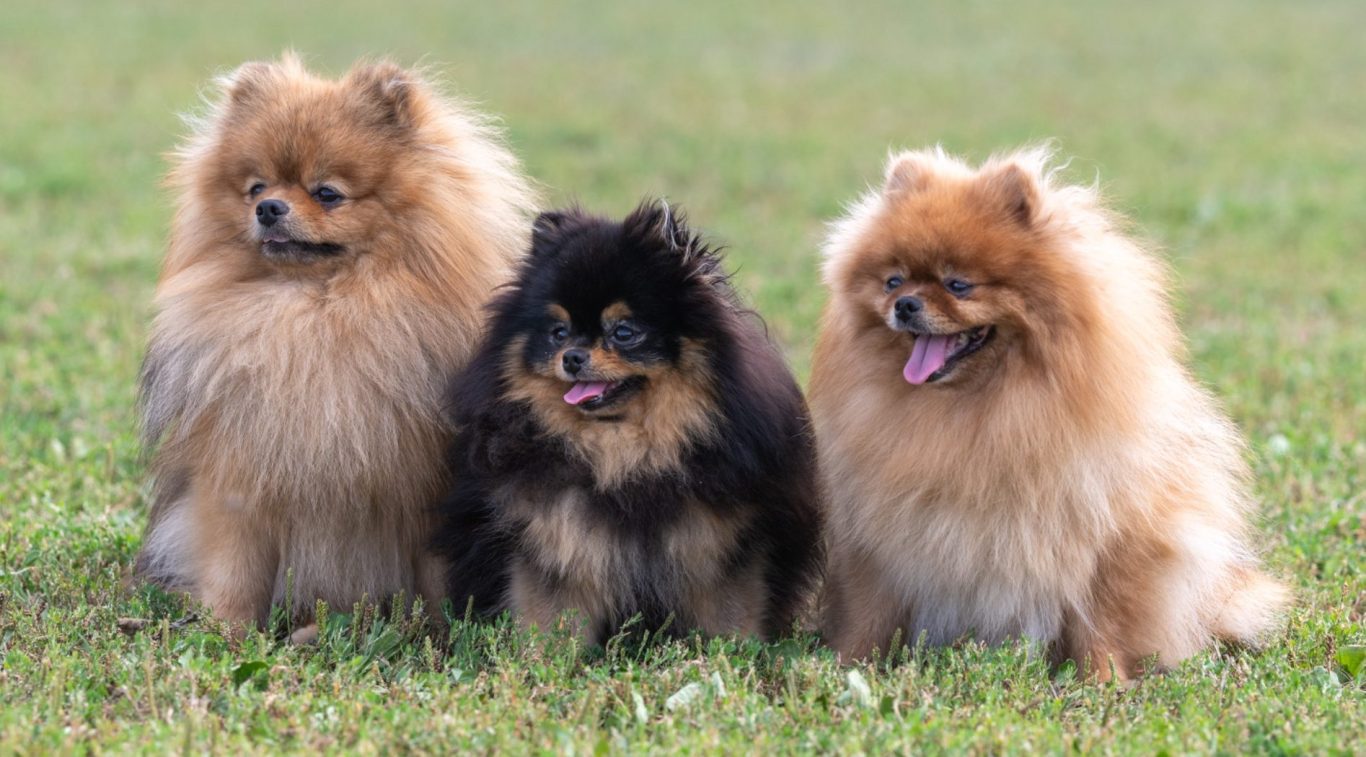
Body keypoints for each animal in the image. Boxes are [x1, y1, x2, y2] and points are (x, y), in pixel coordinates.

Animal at [135, 54, 535, 631]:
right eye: (256, 187)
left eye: (327, 193)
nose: (269, 208)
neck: (317, 314)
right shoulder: (239, 479)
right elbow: (236, 569)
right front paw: (227, 631)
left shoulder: (427, 489)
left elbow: (436, 574)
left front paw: (440, 634)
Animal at [434, 202, 819, 642]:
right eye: (558, 332)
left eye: (623, 332)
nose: (572, 357)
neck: (623, 450)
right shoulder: (553, 534)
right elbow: (550, 615)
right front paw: (542, 653)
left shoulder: (724, 540)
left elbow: (730, 611)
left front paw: (736, 650)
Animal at [808, 147, 1289, 677]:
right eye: (892, 280)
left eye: (959, 285)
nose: (906, 303)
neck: (979, 410)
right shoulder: (878, 537)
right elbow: (868, 611)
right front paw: (844, 666)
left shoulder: (1107, 538)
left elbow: (1099, 620)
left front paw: (1103, 680)